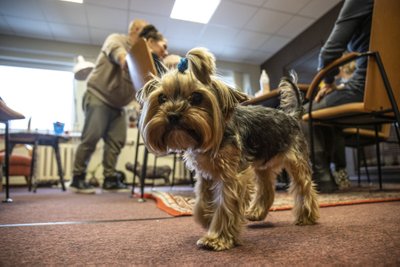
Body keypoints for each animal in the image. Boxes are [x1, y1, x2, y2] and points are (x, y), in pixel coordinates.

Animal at [137, 47, 318, 251]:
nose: (173, 114)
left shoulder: (232, 175)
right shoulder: (206, 173)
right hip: (263, 163)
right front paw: (207, 218)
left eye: (196, 97)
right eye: (162, 98)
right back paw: (257, 212)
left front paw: (217, 238)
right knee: (266, 187)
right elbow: (202, 200)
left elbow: (226, 206)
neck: (211, 137)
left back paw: (307, 216)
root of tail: (291, 116)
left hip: (296, 159)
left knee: (304, 186)